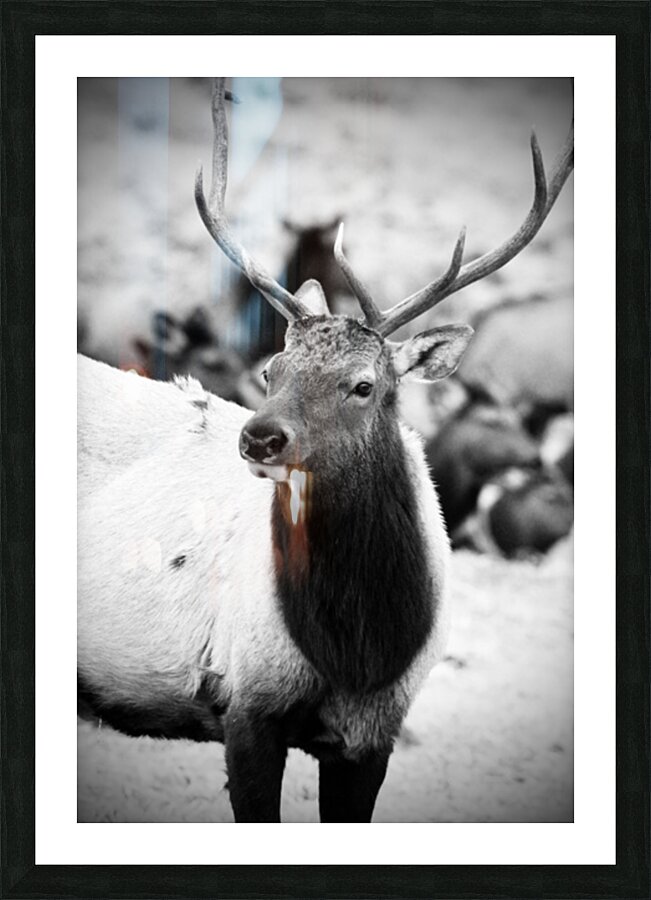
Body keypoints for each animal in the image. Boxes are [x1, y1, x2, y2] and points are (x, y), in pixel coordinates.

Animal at [77, 78, 574, 823]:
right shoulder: (246, 703)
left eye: (363, 384)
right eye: (270, 370)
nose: (258, 436)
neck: (359, 650)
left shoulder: (373, 737)